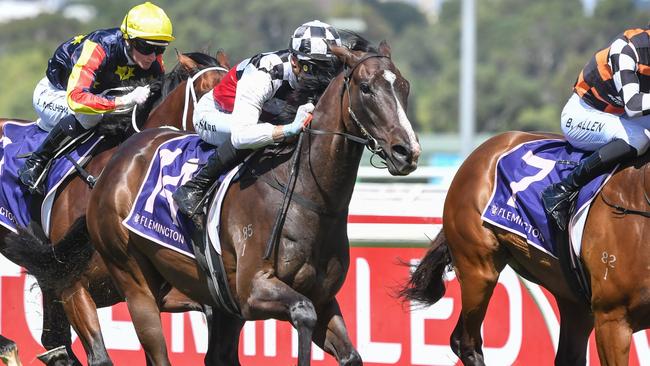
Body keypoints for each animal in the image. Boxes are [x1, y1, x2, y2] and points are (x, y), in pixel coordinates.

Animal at [82, 38, 420, 364]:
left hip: (214, 299)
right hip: (133, 280)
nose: (407, 151)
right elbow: (303, 313)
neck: (307, 196)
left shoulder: (322, 298)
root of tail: (122, 153)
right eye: (366, 88)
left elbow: (350, 354)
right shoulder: (253, 290)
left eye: (404, 86)